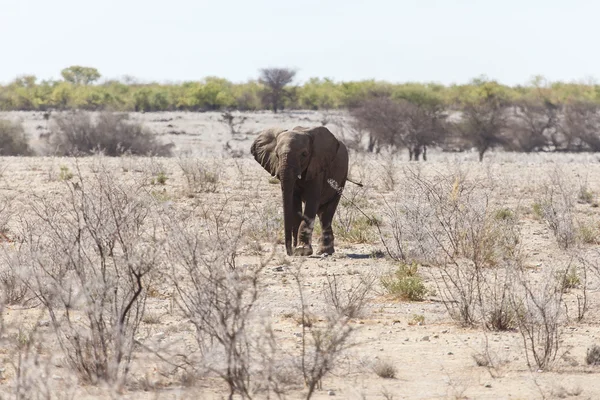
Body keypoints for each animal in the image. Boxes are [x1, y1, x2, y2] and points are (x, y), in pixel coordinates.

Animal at [251, 126, 350, 256]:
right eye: (276, 155)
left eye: (304, 154)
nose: (289, 252)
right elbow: (294, 205)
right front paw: (296, 249)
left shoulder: (317, 166)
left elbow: (311, 202)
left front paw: (302, 250)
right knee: (321, 213)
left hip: (342, 178)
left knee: (326, 214)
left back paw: (324, 251)